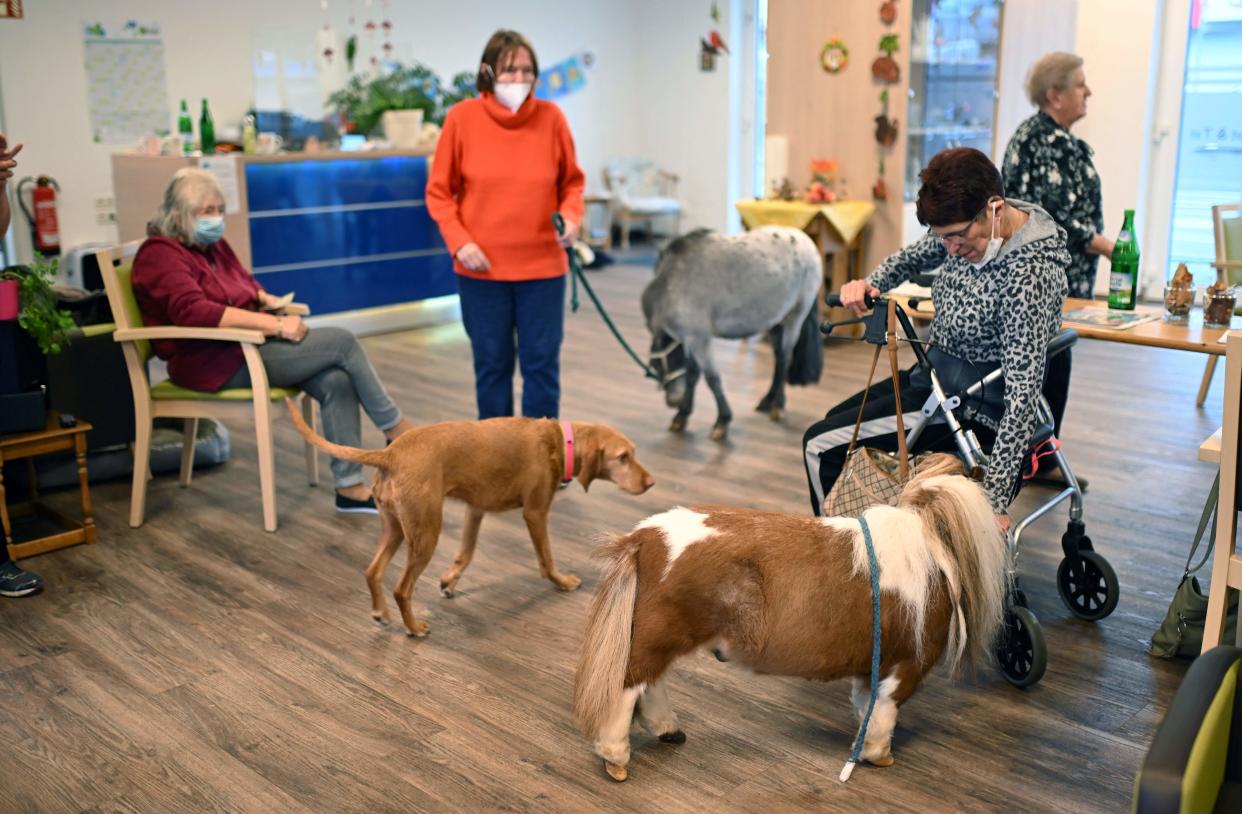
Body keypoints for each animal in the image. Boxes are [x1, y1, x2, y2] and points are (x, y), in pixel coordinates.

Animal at [286, 405, 655, 641]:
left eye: (634, 453)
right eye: (623, 457)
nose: (651, 483)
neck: (557, 442)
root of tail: (390, 453)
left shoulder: (474, 510)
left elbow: (466, 552)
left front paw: (450, 580)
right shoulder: (535, 513)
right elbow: (546, 559)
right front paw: (561, 581)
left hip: (396, 528)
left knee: (372, 571)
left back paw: (381, 613)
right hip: (426, 533)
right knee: (401, 588)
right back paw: (413, 627)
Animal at [571, 454, 1008, 780]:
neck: (928, 552)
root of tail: (644, 538)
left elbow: (865, 702)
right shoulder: (906, 665)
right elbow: (884, 711)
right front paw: (877, 754)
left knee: (650, 686)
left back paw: (668, 730)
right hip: (657, 636)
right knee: (628, 688)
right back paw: (616, 757)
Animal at [640, 224, 824, 439]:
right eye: (655, 366)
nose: (673, 401)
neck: (671, 284)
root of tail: (806, 241)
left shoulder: (699, 339)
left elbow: (712, 378)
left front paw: (722, 421)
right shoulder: (691, 339)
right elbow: (694, 373)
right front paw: (682, 415)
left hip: (794, 317)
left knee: (786, 358)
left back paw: (777, 406)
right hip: (774, 322)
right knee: (779, 360)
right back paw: (768, 401)